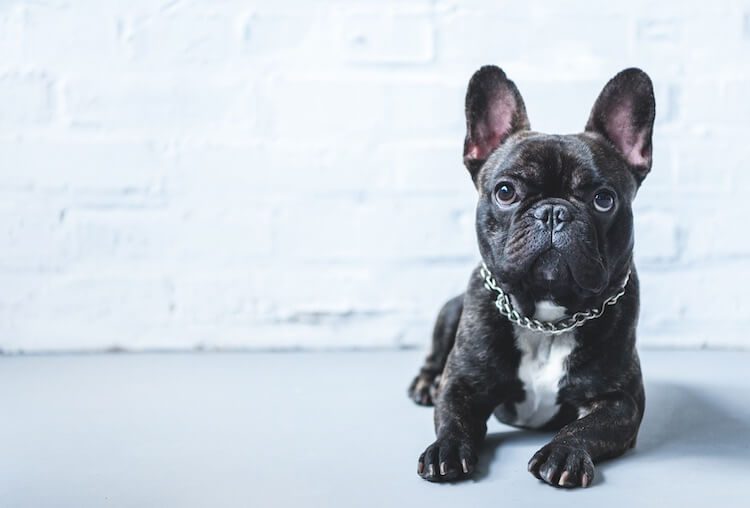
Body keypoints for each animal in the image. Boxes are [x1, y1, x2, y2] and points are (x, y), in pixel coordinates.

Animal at [408, 66, 656, 488]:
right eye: (506, 192)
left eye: (603, 199)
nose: (553, 212)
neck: (546, 317)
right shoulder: (463, 384)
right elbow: (454, 417)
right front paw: (447, 450)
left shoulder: (620, 401)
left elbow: (584, 427)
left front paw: (563, 452)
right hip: (450, 310)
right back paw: (425, 383)